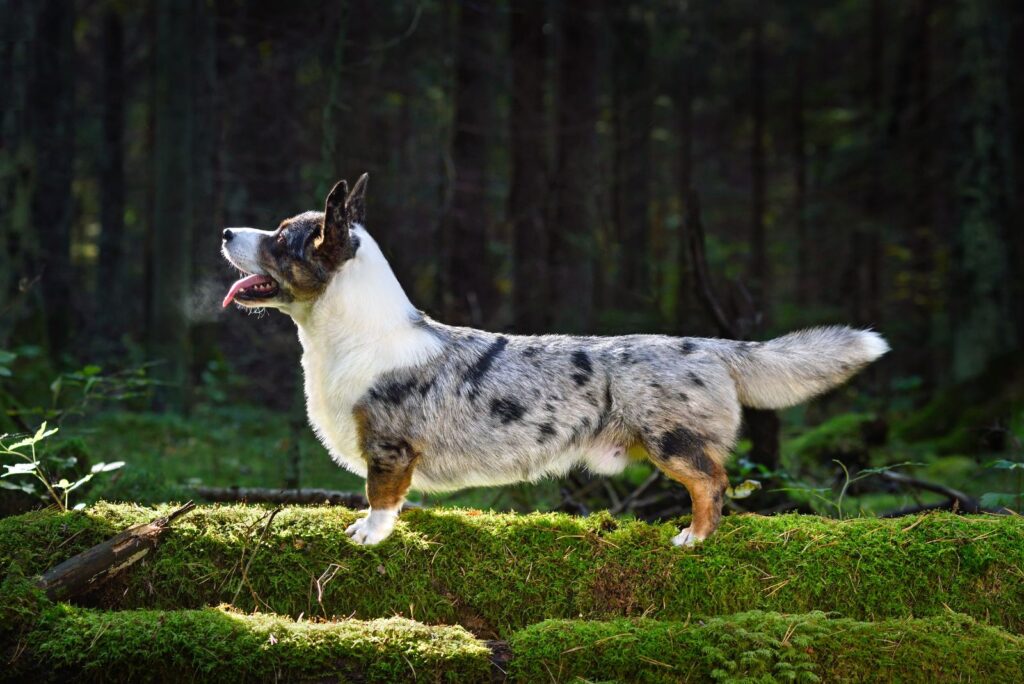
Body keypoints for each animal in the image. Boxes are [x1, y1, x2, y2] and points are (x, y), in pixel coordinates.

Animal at [222, 175, 888, 544]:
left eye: (281, 238)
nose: (226, 232)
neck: (348, 335)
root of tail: (714, 346)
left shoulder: (389, 448)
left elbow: (380, 498)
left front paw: (368, 535)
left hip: (670, 441)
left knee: (713, 482)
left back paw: (693, 539)